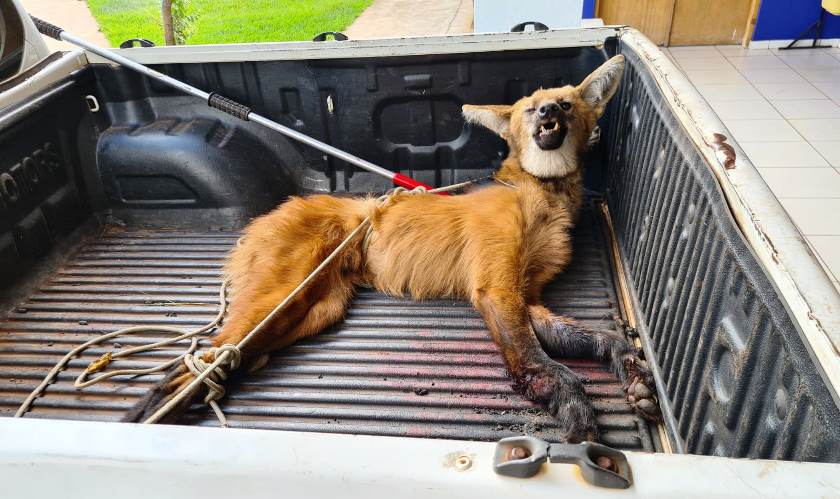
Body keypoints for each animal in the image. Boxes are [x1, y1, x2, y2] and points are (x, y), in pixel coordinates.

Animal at [128, 54, 660, 444]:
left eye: (566, 105)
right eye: (533, 108)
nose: (549, 114)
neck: (537, 195)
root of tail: (272, 212)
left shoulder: (526, 295)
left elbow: (598, 339)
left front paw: (630, 371)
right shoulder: (496, 289)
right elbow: (539, 363)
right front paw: (574, 409)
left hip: (312, 312)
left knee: (233, 357)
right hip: (282, 300)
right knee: (189, 368)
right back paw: (147, 422)